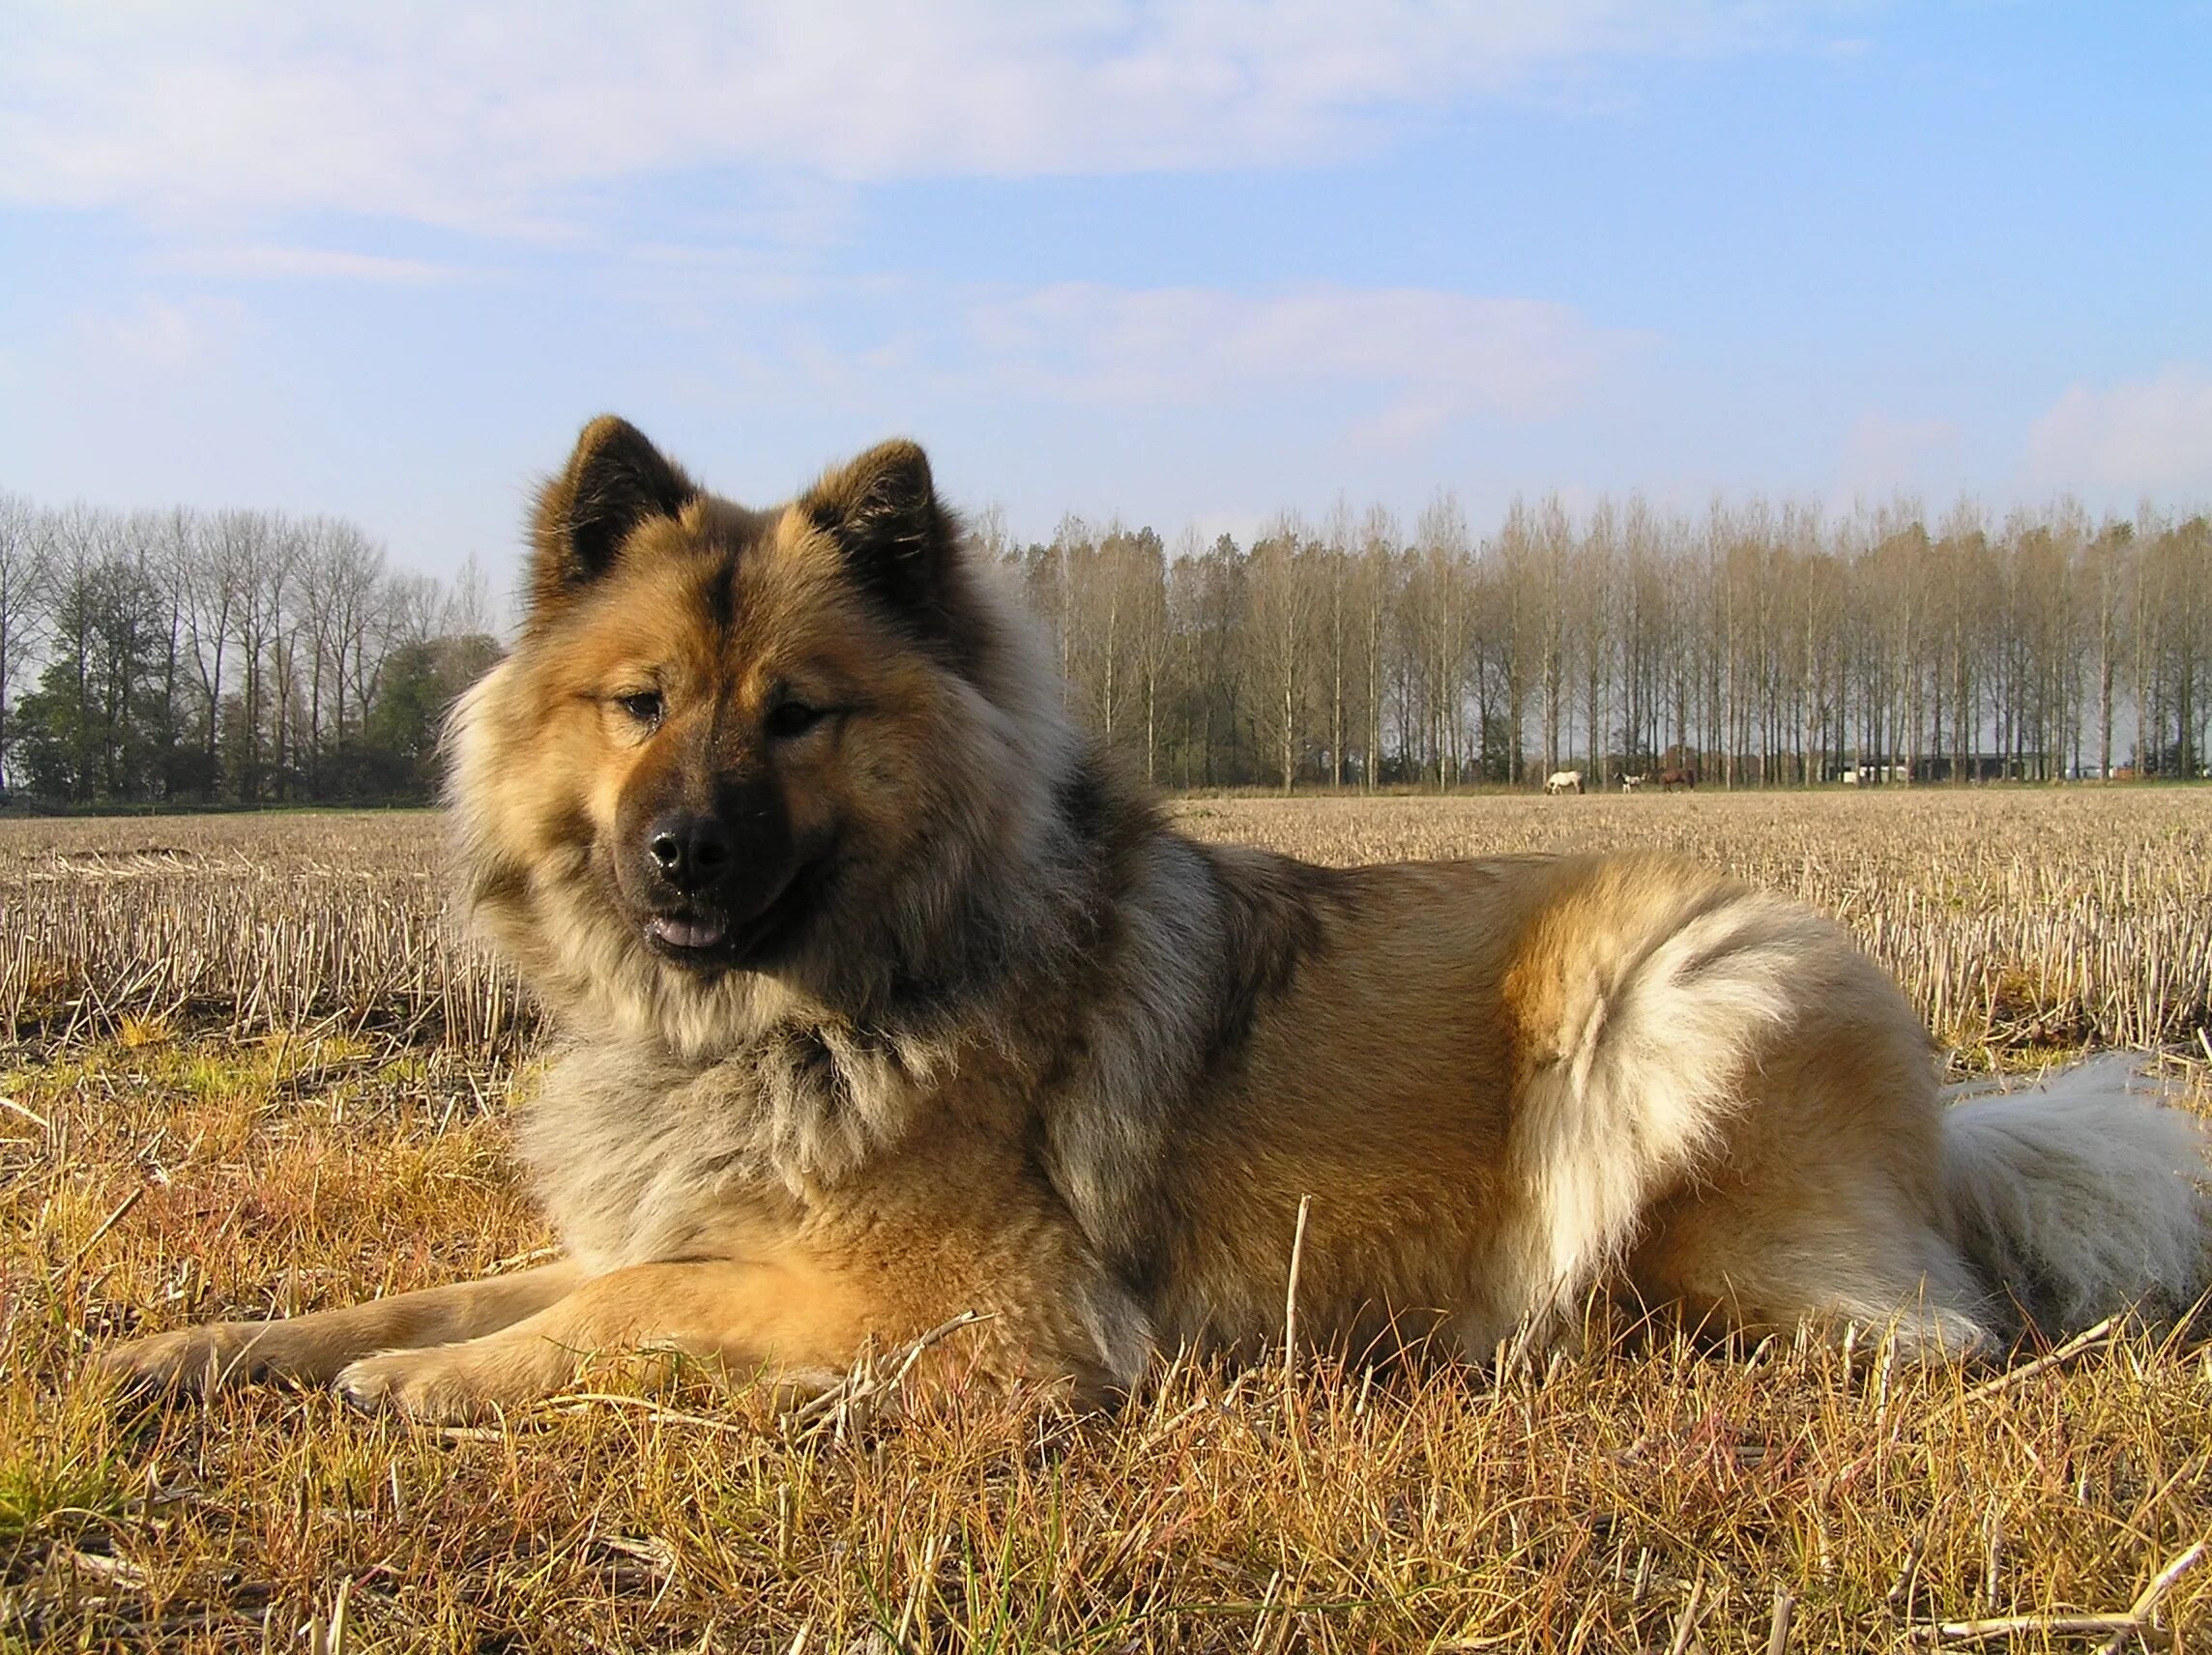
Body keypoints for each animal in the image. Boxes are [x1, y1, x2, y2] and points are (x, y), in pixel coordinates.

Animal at [103, 416, 2212, 1424]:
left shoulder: (958, 1306)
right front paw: (224, 1347)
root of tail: (1946, 1126)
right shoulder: (705, 1227)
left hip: (1678, 975)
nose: (683, 854)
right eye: (638, 705)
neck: (806, 1011)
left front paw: (427, 1388)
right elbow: (463, 1284)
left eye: (797, 714)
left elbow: (619, 1306)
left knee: (1919, 1336)